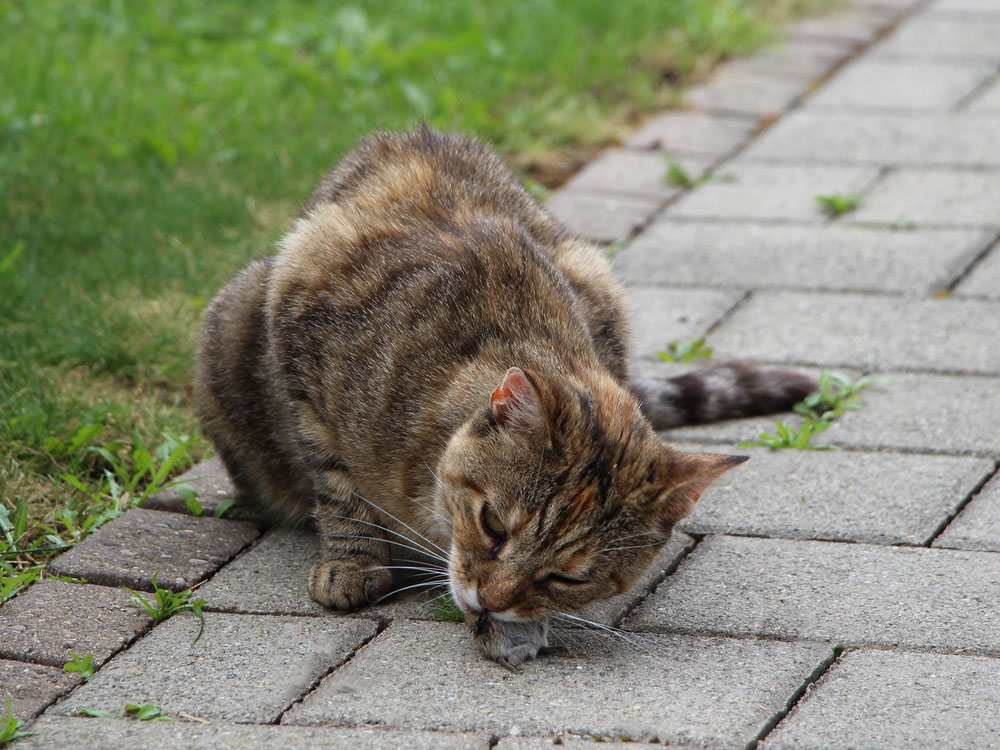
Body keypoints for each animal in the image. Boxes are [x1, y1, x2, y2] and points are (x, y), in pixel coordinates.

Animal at [193, 128, 812, 668]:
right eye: (492, 523)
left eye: (568, 576)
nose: (492, 598)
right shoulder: (302, 331)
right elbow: (338, 487)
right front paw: (353, 562)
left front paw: (504, 626)